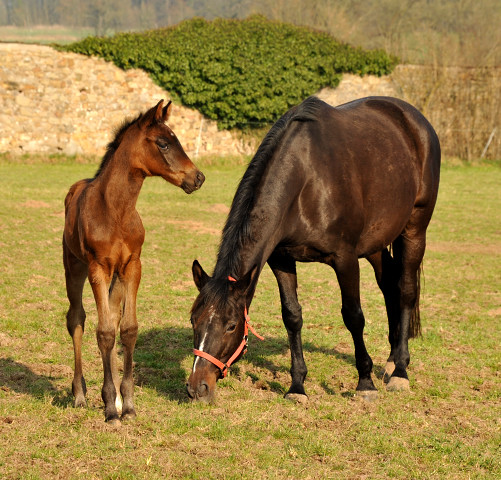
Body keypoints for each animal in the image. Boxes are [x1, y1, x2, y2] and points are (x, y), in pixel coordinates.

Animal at [63, 99, 204, 422]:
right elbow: (103, 332)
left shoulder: (133, 266)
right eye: (163, 143)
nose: (198, 178)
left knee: (112, 318)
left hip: (116, 275)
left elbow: (126, 329)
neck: (115, 210)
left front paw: (125, 404)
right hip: (73, 266)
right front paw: (109, 407)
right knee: (76, 318)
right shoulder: (98, 267)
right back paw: (79, 394)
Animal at [186, 95, 440, 404]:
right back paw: (391, 361)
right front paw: (297, 386)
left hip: (414, 230)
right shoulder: (281, 259)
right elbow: (292, 317)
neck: (306, 179)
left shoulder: (345, 259)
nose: (197, 388)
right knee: (389, 284)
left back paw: (401, 370)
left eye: (231, 325)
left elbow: (353, 316)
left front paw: (364, 383)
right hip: (375, 243)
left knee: (405, 290)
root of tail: (414, 118)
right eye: (193, 320)